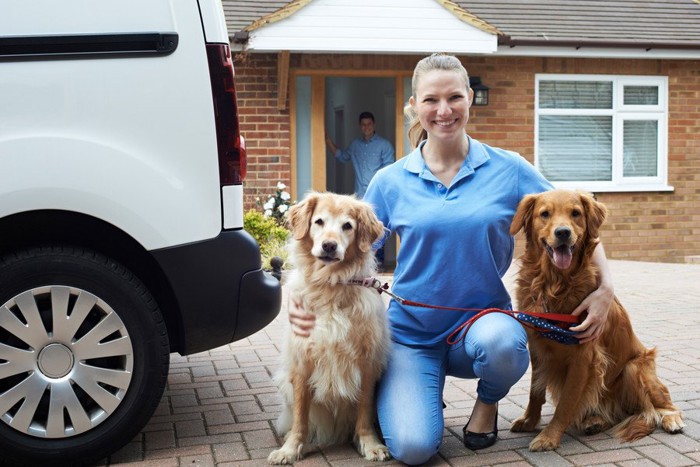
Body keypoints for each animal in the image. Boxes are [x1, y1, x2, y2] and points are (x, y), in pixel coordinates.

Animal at [508, 190, 684, 454]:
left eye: (575, 213)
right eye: (545, 214)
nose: (563, 232)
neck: (555, 284)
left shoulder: (584, 356)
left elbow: (567, 402)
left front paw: (549, 437)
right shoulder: (538, 348)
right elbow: (535, 392)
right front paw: (529, 421)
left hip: (635, 369)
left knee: (662, 403)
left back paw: (671, 418)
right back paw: (595, 420)